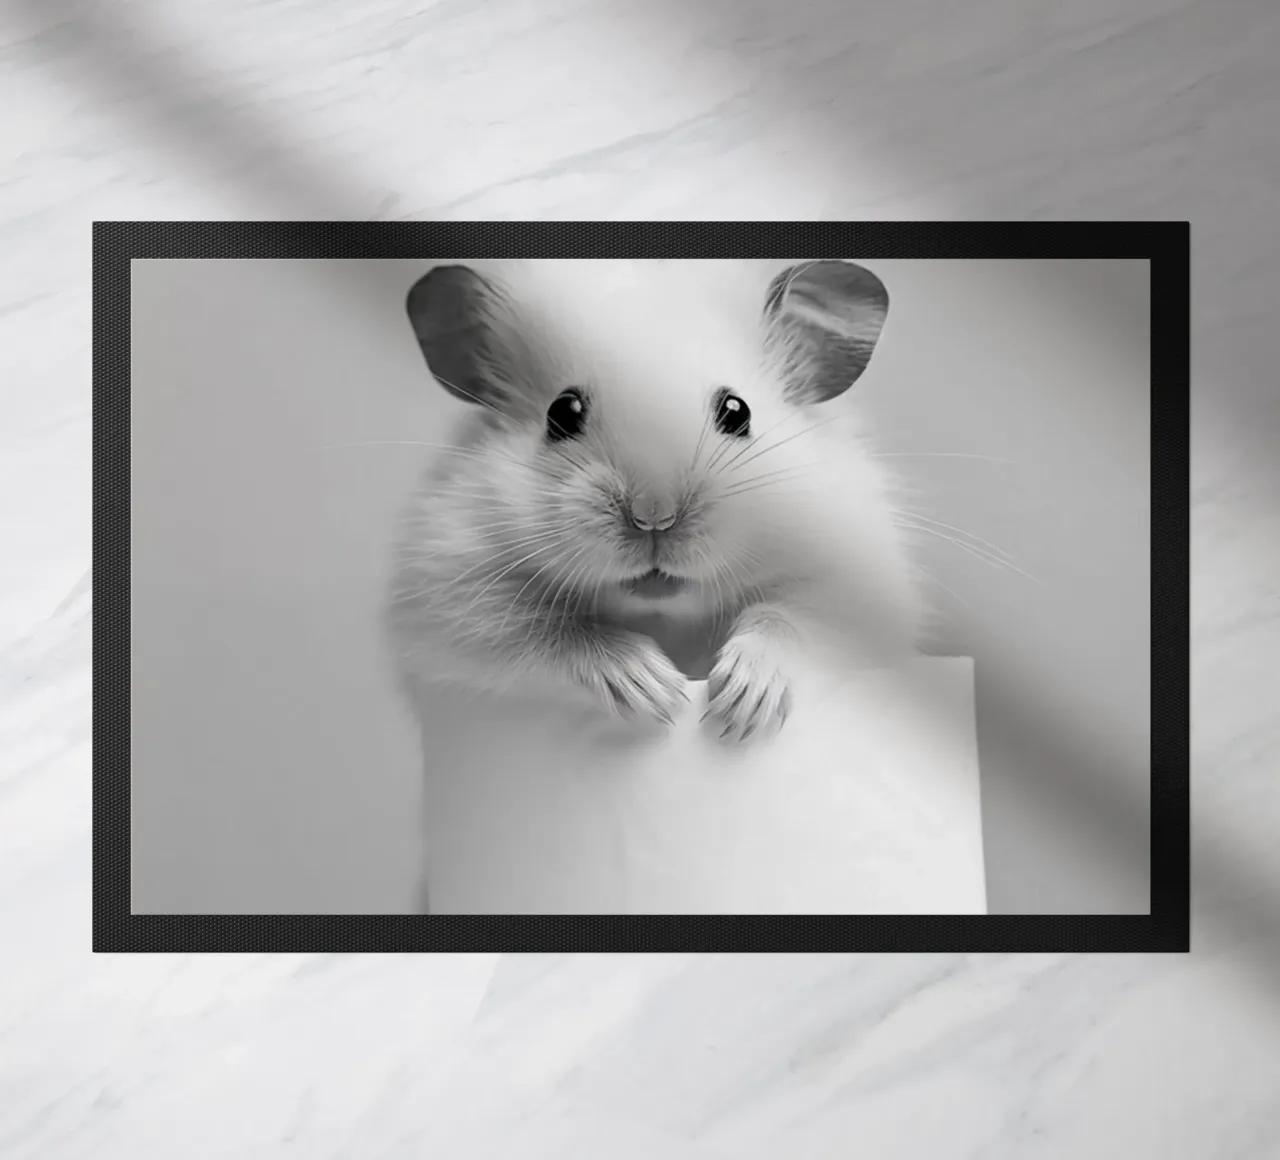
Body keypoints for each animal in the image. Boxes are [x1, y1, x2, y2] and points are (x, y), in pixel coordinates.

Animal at [387, 258, 925, 743]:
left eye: (737, 411)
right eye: (562, 413)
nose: (653, 518)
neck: (665, 613)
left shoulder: (857, 590)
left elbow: (789, 619)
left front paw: (738, 710)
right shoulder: (449, 600)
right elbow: (555, 634)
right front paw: (659, 692)